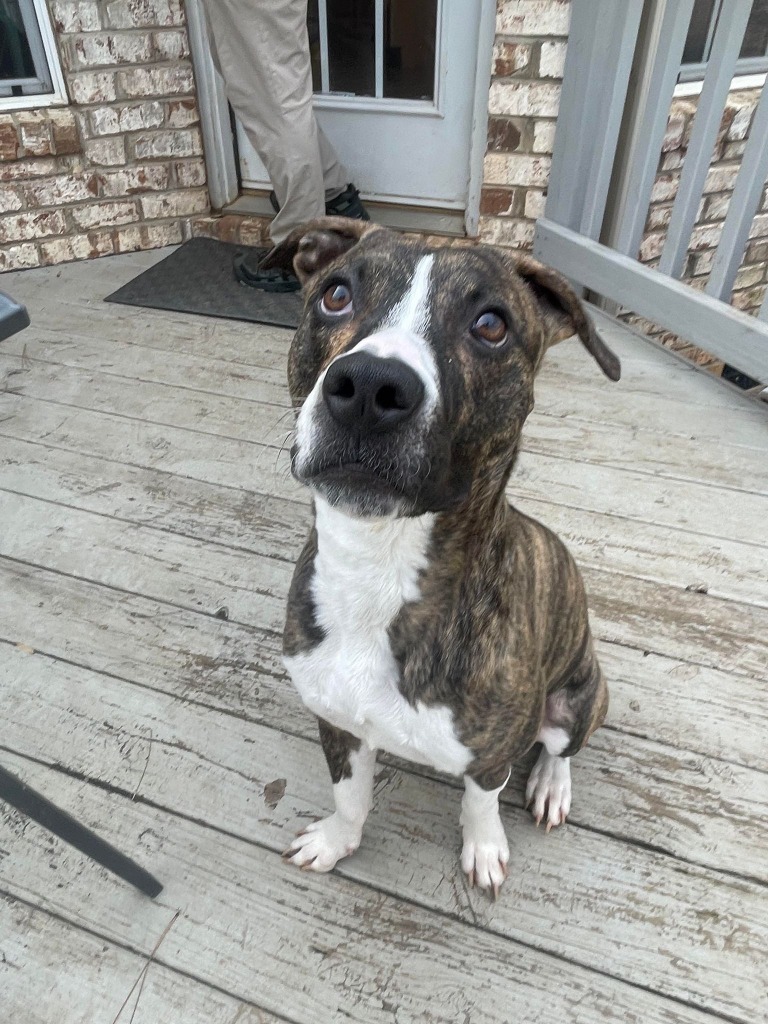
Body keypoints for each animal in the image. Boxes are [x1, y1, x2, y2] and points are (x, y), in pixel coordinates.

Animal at [262, 218, 622, 897]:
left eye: (491, 324)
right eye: (336, 294)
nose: (369, 386)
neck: (377, 566)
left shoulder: (491, 752)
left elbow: (481, 801)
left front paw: (484, 848)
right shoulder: (339, 724)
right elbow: (350, 796)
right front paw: (336, 841)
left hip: (580, 695)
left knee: (562, 747)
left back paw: (550, 786)